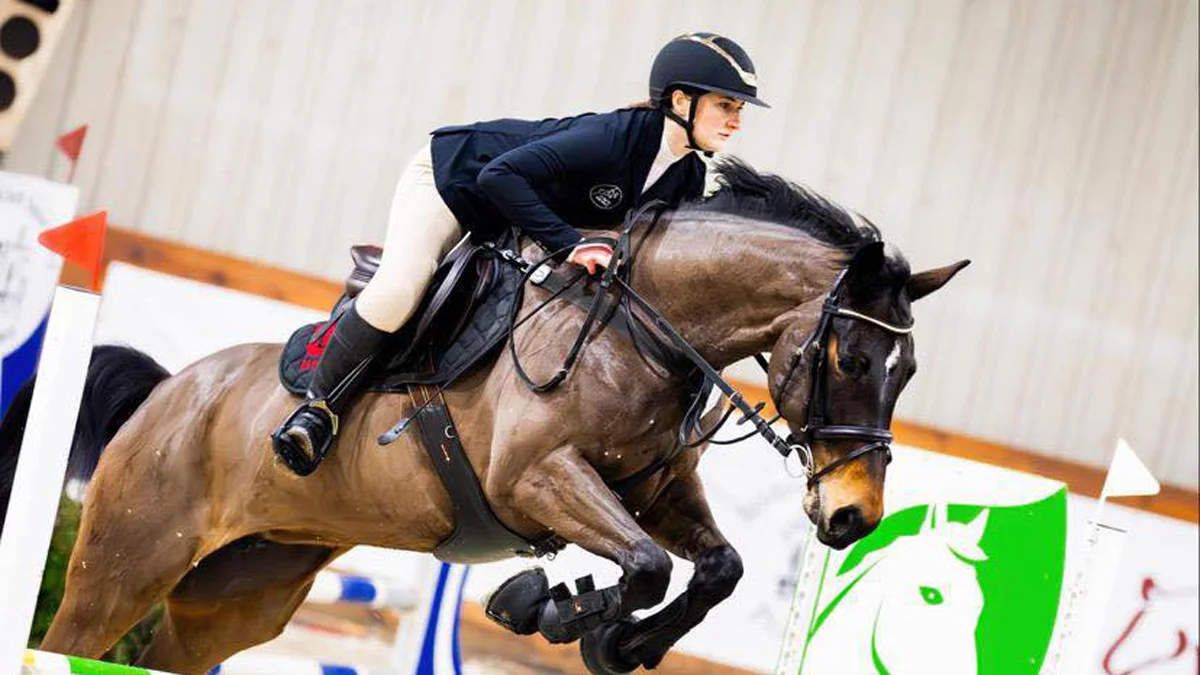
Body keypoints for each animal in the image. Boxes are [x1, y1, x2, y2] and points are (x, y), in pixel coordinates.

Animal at [2, 159, 964, 667]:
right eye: (850, 358)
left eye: (909, 369)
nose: (852, 516)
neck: (644, 329)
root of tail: (169, 393)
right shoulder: (535, 478)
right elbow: (646, 565)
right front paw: (547, 606)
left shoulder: (653, 489)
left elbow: (714, 567)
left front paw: (623, 643)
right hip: (126, 562)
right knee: (72, 630)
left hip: (237, 596)